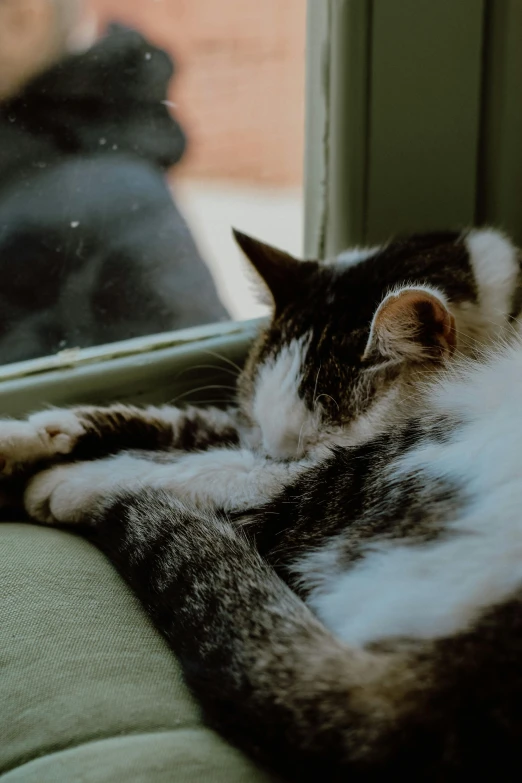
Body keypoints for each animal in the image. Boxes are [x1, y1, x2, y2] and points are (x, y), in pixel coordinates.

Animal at [1, 225, 520, 776]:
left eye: (307, 451)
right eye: (260, 434)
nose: (272, 458)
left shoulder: (312, 471)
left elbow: (210, 465)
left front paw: (64, 480)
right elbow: (180, 424)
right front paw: (18, 443)